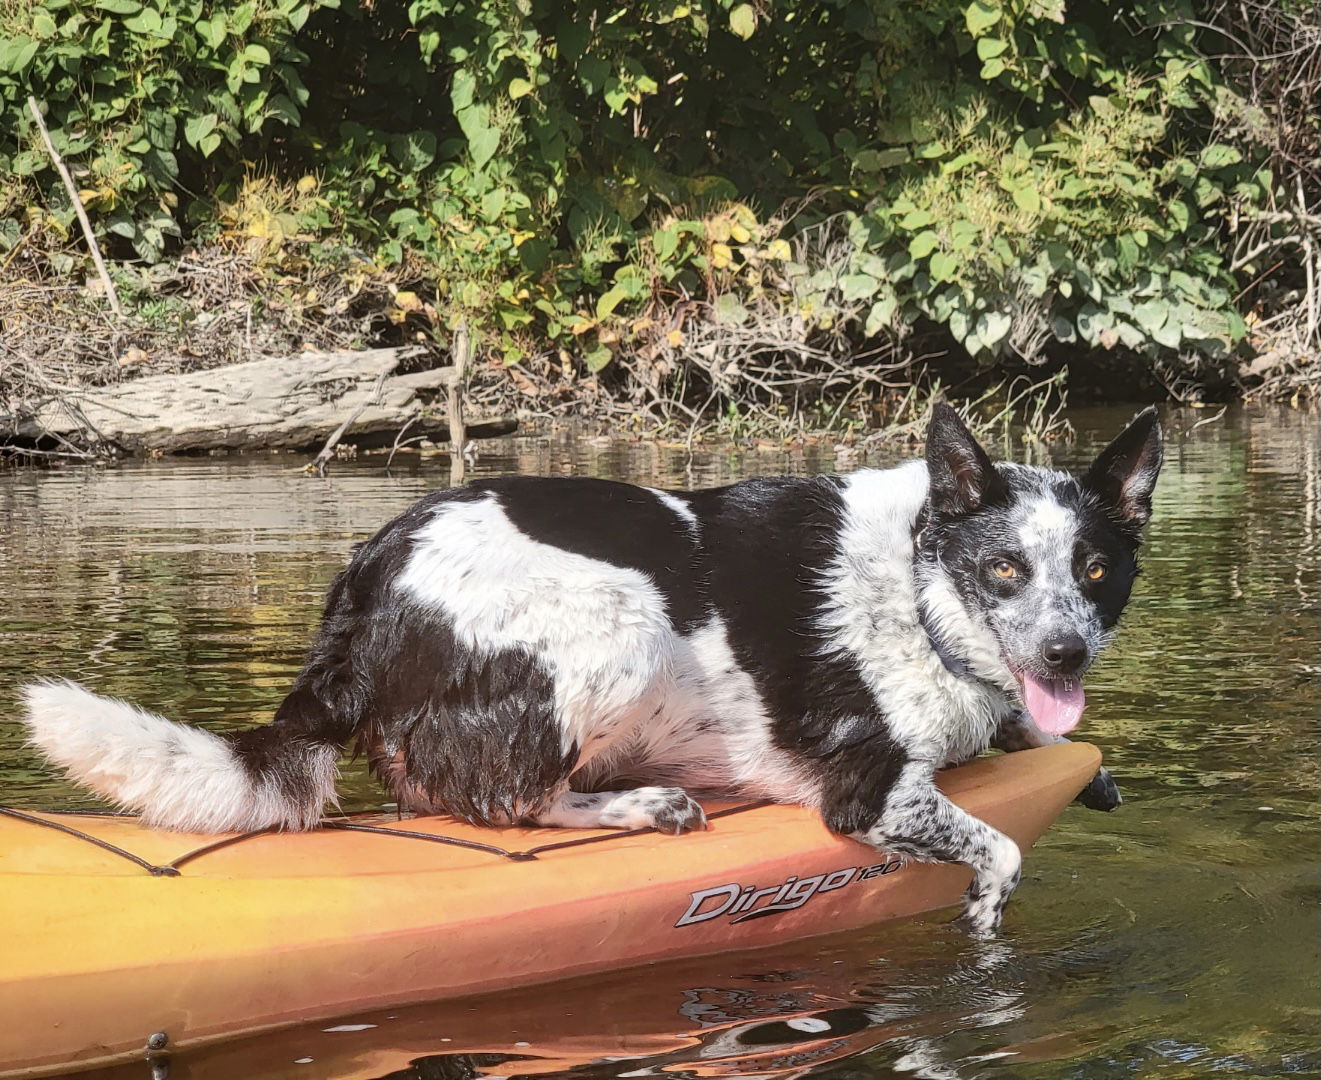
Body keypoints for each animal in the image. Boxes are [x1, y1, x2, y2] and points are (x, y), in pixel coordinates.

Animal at [18, 404, 1157, 934]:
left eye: (1096, 571)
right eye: (1004, 568)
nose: (1063, 651)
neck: (922, 583)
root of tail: (367, 586)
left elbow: (1036, 739)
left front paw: (1080, 761)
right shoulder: (867, 793)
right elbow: (998, 852)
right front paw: (984, 913)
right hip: (620, 625)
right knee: (505, 802)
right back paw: (643, 805)